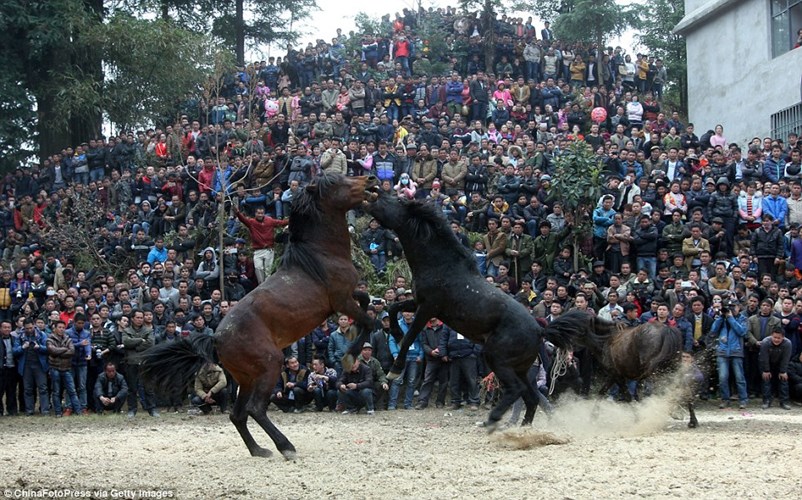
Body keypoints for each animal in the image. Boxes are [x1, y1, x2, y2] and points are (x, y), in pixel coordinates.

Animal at [141, 174, 378, 458]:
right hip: (270, 365)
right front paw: (350, 355)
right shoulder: (341, 300)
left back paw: (259, 450)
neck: (321, 255)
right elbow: (370, 321)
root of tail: (216, 339)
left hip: (246, 377)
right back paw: (285, 447)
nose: (371, 180)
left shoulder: (347, 297)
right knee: (255, 409)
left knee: (238, 415)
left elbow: (366, 302)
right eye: (336, 182)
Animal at [362, 193, 568, 428]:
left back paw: (491, 420)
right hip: (521, 368)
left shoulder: (428, 308)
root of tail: (539, 330)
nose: (371, 194)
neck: (440, 265)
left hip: (497, 359)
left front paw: (394, 370)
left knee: (517, 390)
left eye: (393, 201)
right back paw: (521, 428)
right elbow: (394, 307)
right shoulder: (418, 302)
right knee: (531, 398)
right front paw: (396, 333)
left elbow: (410, 336)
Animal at [540, 310, 696, 428]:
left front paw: (638, 417)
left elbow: (627, 396)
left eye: (565, 327)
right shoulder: (618, 376)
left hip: (658, 371)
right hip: (672, 367)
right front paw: (593, 417)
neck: (605, 340)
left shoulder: (616, 375)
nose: (551, 346)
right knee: (684, 387)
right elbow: (605, 392)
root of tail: (667, 329)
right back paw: (692, 420)